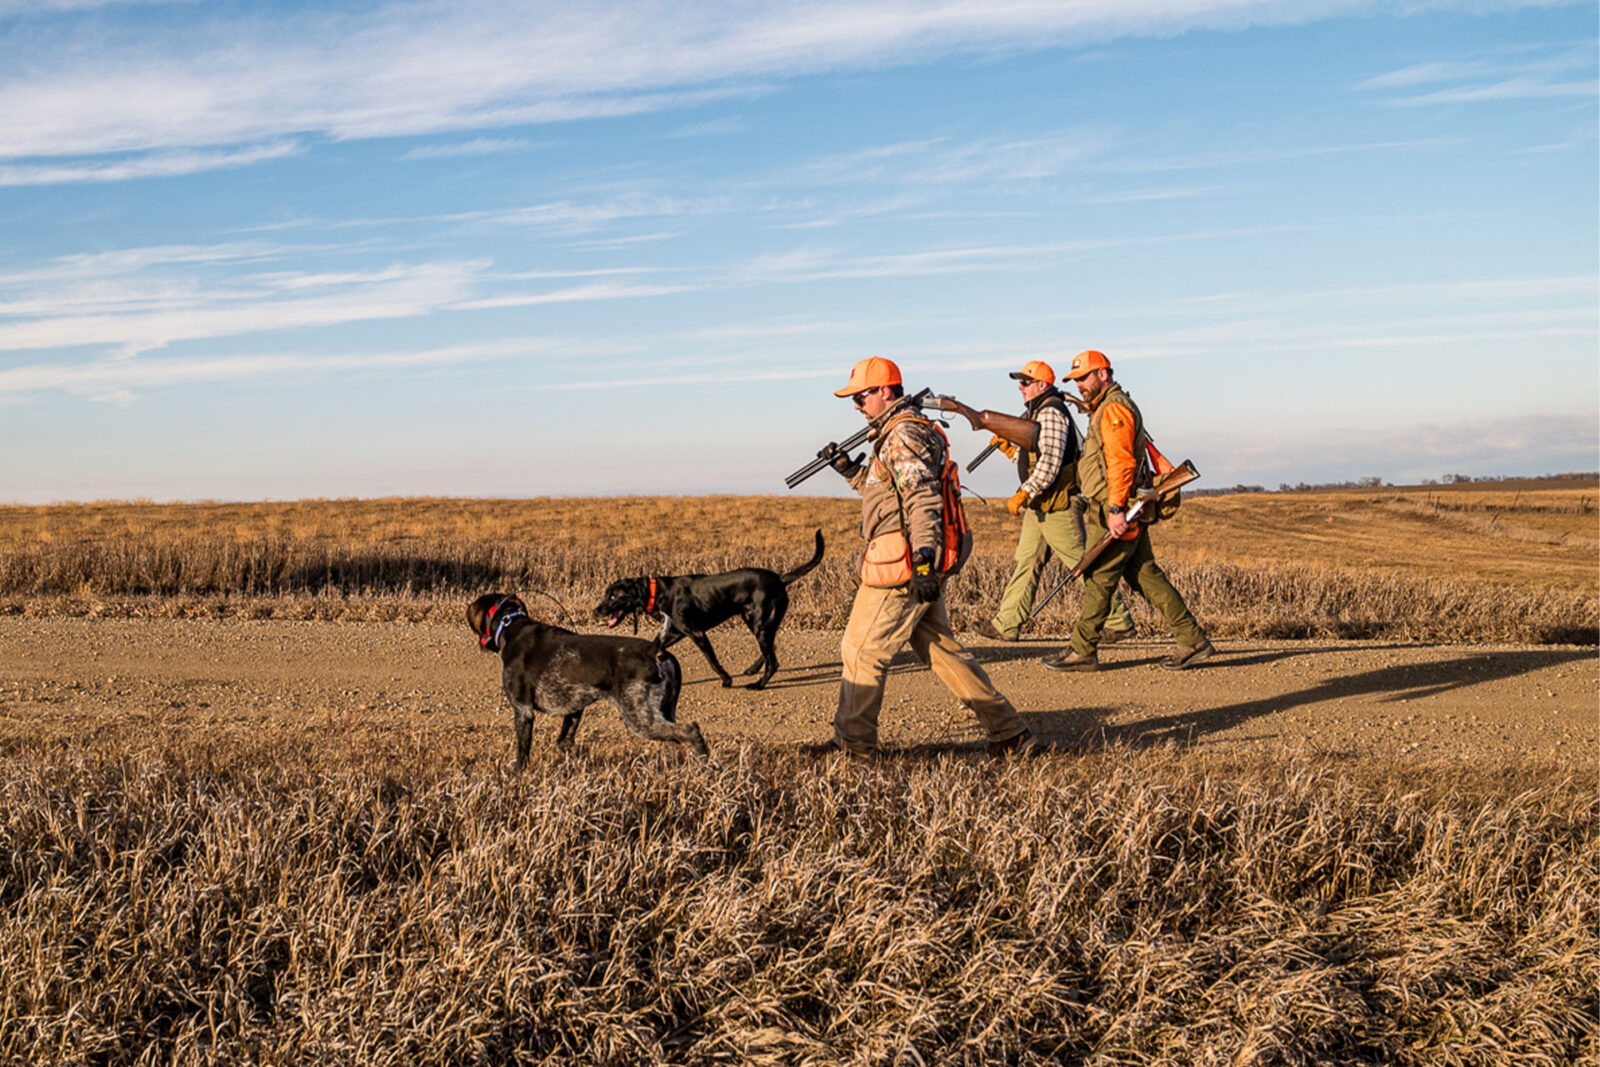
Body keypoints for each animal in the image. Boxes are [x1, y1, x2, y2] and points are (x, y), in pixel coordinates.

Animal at [467, 591, 710, 767]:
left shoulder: (523, 710)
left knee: (690, 730)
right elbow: (564, 740)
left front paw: (518, 772)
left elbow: (523, 750)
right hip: (664, 711)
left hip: (639, 717)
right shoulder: (575, 705)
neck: (509, 625)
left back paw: (706, 765)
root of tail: (654, 649)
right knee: (676, 740)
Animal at [598, 527, 832, 694]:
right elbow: (653, 647)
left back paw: (758, 684)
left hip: (760, 623)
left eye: (613, 596)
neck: (657, 592)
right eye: (607, 594)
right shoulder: (675, 632)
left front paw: (727, 679)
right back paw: (753, 670)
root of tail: (780, 579)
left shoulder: (697, 632)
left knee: (773, 662)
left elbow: (712, 660)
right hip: (754, 620)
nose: (596, 611)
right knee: (770, 650)